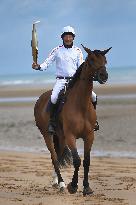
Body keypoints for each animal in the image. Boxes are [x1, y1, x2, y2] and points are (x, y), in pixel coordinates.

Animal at [34, 44, 111, 195]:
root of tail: (40, 99)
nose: (104, 76)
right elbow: (77, 160)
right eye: (91, 61)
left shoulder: (89, 136)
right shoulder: (71, 136)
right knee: (54, 158)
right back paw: (62, 183)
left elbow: (86, 161)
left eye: (105, 61)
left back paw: (56, 182)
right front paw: (73, 185)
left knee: (58, 156)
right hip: (47, 135)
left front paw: (86, 187)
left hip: (61, 137)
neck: (81, 104)